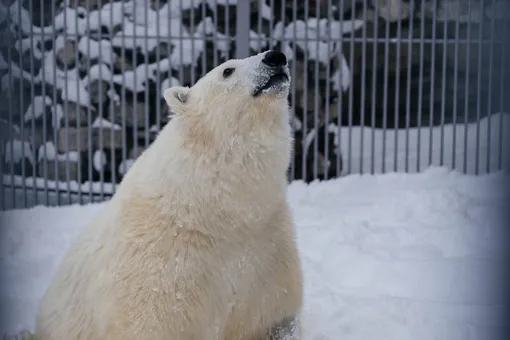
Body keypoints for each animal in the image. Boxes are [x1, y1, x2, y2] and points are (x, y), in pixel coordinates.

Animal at [34, 50, 302, 340]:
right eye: (227, 70)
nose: (275, 57)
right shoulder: (163, 261)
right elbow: (151, 320)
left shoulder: (265, 247)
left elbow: (273, 317)